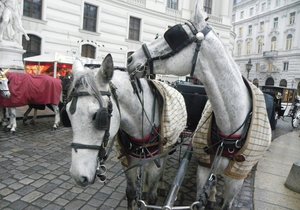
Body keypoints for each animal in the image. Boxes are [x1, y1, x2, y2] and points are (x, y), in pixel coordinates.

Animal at [67, 54, 186, 210]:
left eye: (99, 117)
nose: (77, 176)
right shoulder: (128, 161)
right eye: (67, 113)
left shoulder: (157, 162)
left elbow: (151, 198)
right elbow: (130, 192)